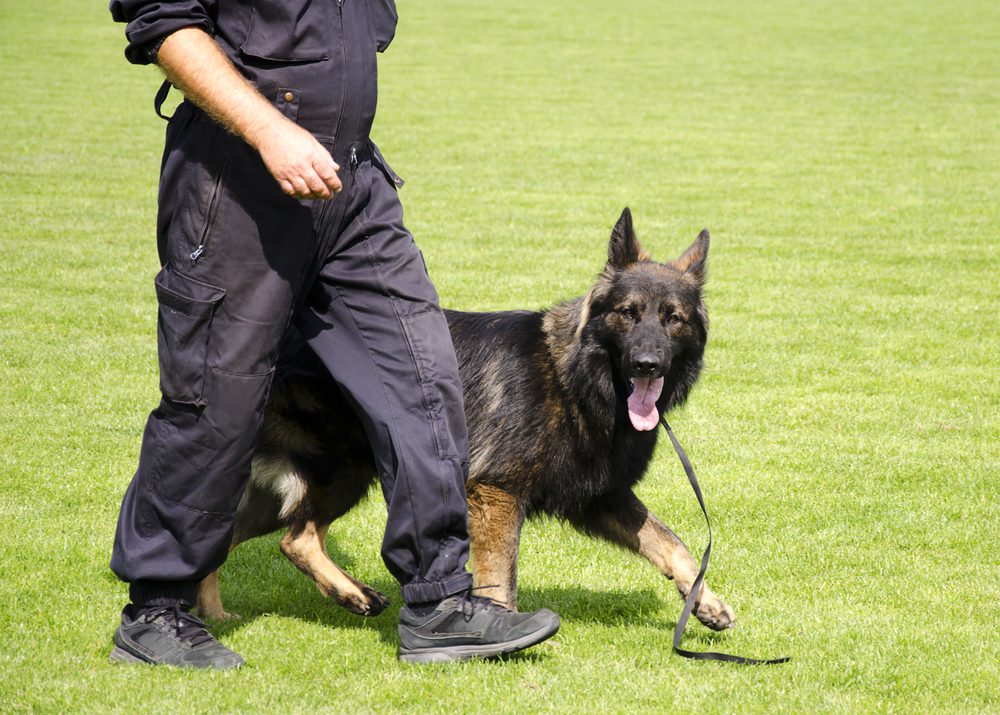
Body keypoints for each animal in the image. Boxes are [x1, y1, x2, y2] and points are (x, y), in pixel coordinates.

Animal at [199, 210, 740, 636]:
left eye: (672, 319)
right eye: (628, 314)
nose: (648, 364)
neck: (572, 377)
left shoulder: (600, 498)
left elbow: (673, 544)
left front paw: (705, 600)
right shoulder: (496, 494)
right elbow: (501, 575)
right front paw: (501, 628)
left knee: (223, 537)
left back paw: (215, 615)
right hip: (345, 470)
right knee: (297, 538)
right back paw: (354, 595)